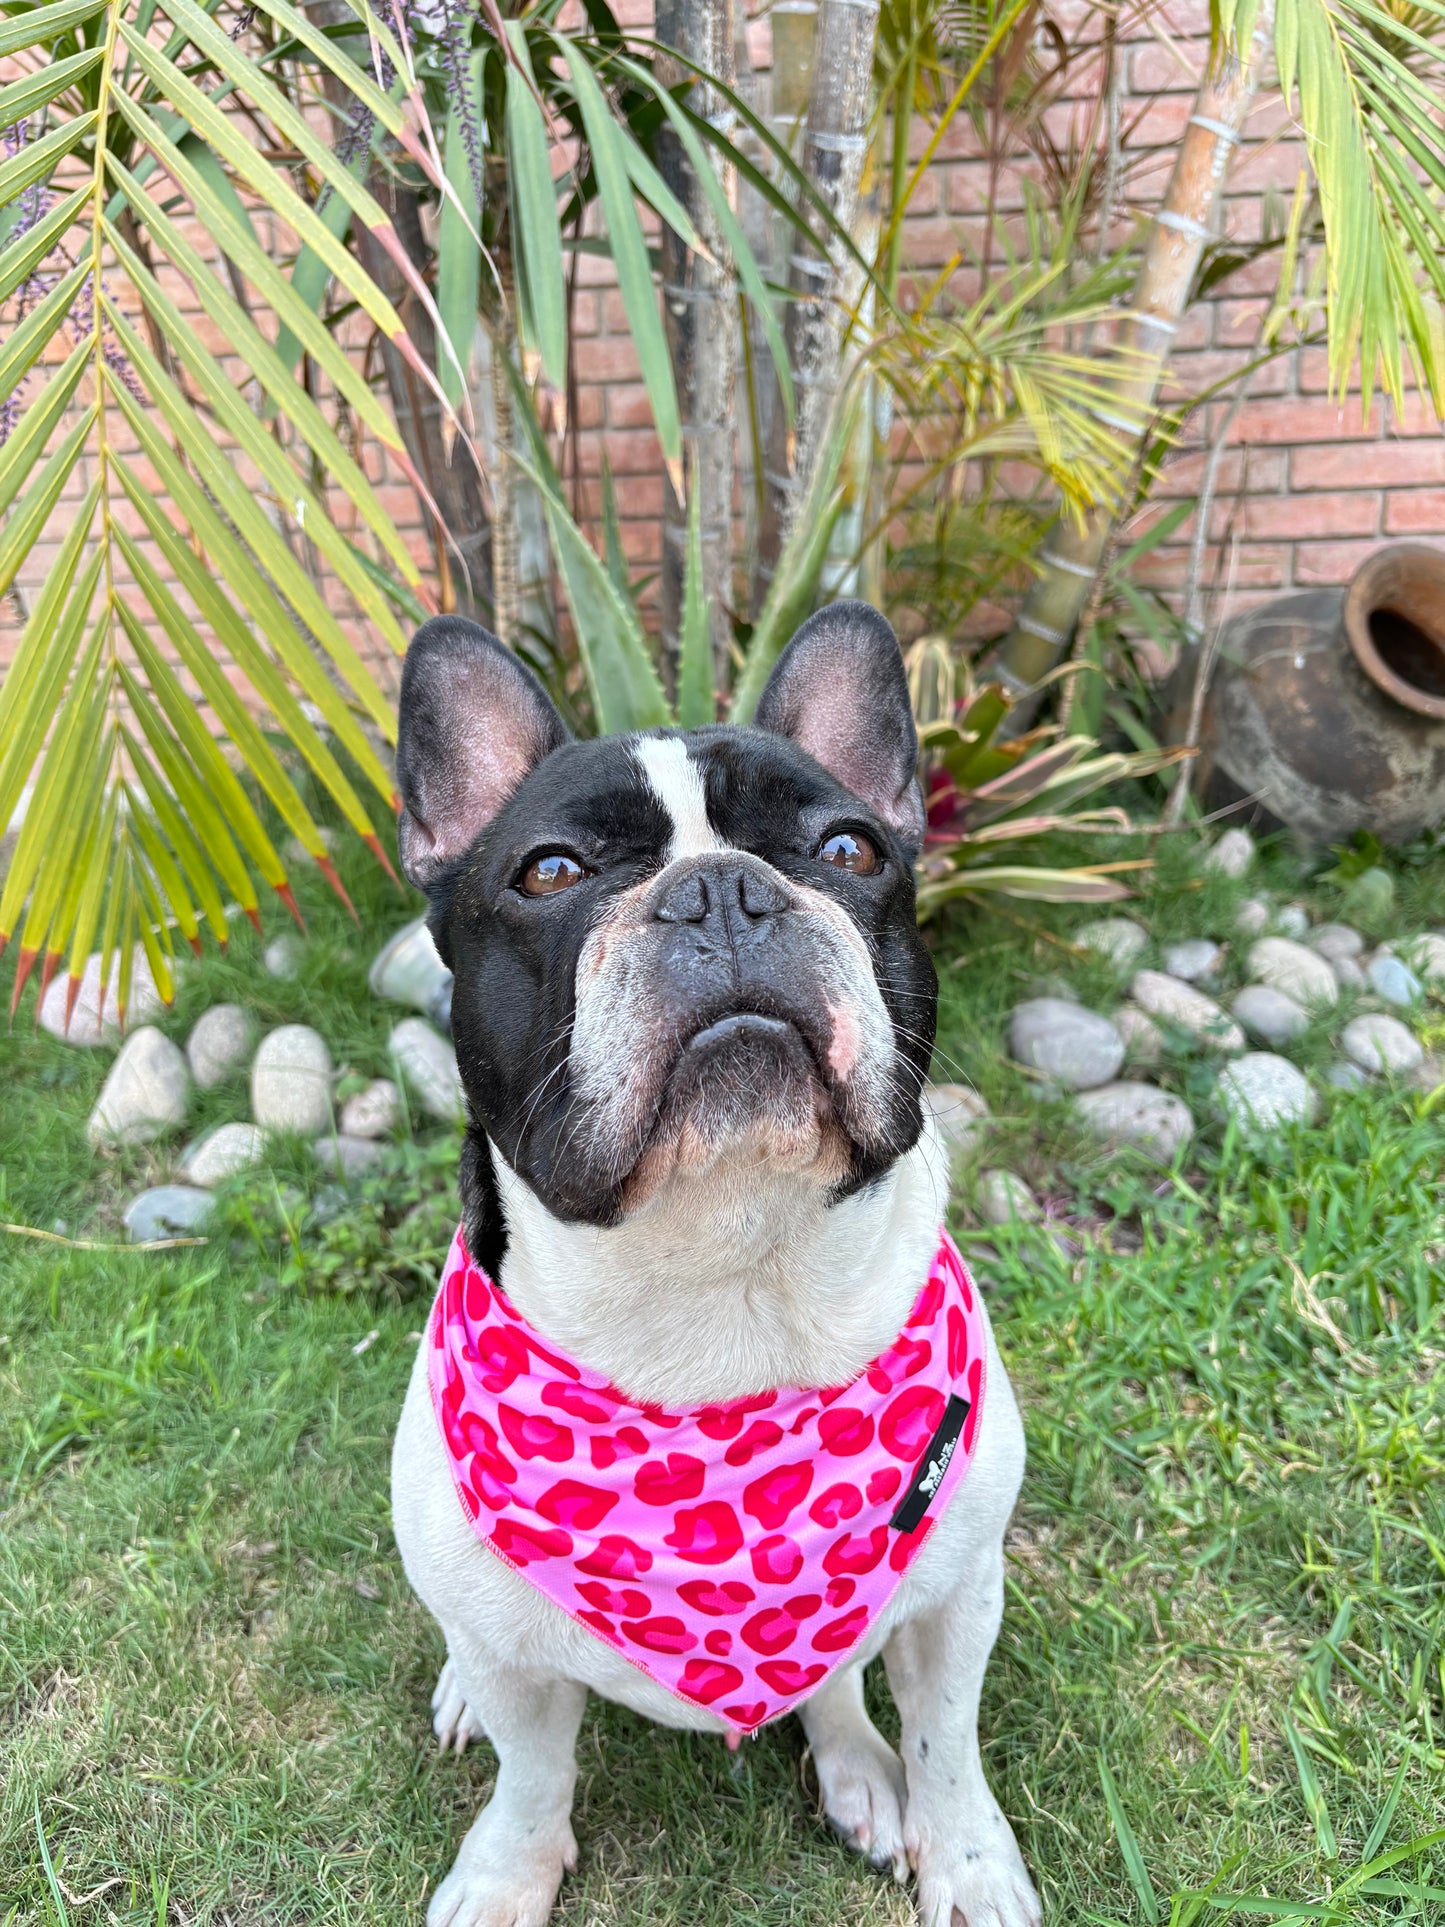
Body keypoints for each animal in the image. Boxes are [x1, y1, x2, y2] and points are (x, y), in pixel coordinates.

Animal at [387, 605, 1040, 1927]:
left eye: (848, 848)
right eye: (550, 872)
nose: (720, 890)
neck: (727, 1270)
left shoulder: (957, 1600)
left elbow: (948, 1743)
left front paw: (968, 1862)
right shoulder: (519, 1668)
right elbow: (532, 1775)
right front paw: (504, 1875)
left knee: (833, 1677)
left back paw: (858, 1770)